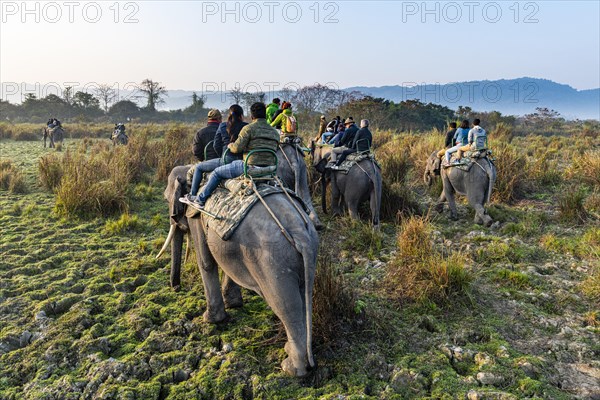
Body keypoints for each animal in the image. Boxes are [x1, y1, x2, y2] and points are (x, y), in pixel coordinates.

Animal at [158, 164, 318, 376]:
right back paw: (293, 354)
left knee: (285, 305)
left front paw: (210, 320)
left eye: (167, 198)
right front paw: (233, 303)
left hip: (273, 263)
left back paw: (291, 368)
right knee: (304, 297)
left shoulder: (196, 216)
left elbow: (206, 262)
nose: (176, 287)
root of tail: (301, 235)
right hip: (302, 257)